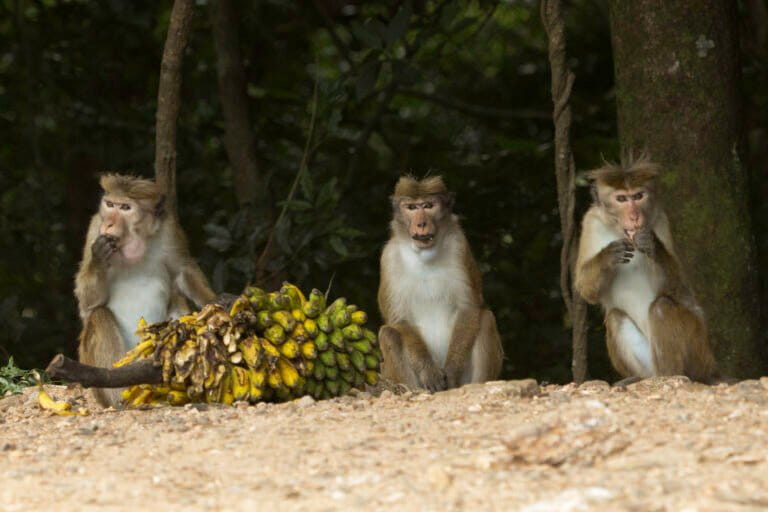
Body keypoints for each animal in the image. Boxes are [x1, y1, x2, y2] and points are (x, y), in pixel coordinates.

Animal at [74, 174, 216, 406]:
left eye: (125, 207)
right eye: (110, 204)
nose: (109, 223)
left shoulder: (169, 229)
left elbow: (182, 270)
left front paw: (215, 303)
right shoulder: (95, 227)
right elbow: (87, 307)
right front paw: (98, 259)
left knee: (176, 300)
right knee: (99, 315)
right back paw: (121, 396)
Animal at [376, 176, 504, 392]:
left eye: (428, 206)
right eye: (411, 207)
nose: (420, 223)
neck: (425, 254)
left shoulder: (460, 246)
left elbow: (468, 307)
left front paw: (450, 373)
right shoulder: (389, 258)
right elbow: (399, 319)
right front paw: (429, 372)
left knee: (486, 318)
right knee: (389, 334)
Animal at [576, 154, 720, 382]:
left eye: (638, 196)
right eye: (621, 199)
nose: (635, 216)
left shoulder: (660, 219)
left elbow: (676, 287)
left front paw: (652, 245)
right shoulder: (591, 222)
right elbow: (585, 288)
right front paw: (608, 256)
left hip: (699, 350)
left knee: (662, 306)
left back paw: (670, 375)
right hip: (649, 362)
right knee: (615, 317)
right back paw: (640, 378)